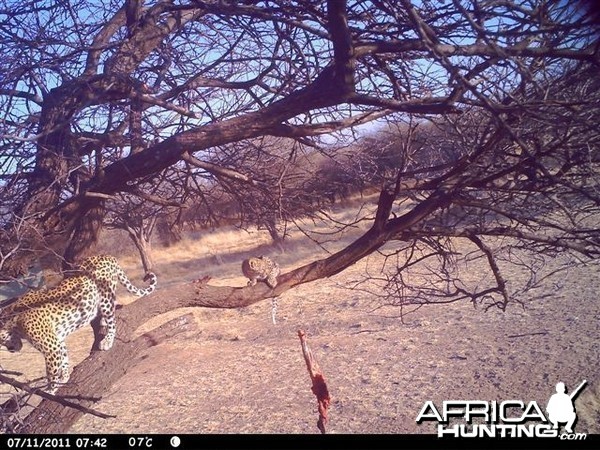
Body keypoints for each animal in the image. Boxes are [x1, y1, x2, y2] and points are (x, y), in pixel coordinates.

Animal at [0, 255, 157, 392]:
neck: (12, 321)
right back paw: (103, 323)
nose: (10, 350)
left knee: (112, 320)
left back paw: (107, 340)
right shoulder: (58, 340)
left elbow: (52, 373)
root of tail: (106, 256)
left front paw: (51, 390)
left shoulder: (51, 348)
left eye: (1, 341)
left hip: (106, 296)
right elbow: (64, 358)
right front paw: (64, 377)